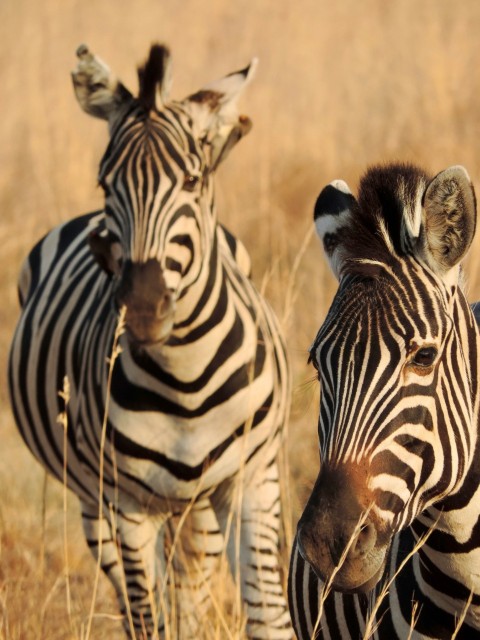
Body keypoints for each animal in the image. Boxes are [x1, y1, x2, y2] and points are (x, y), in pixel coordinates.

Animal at [8, 44, 292, 639]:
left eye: (191, 181)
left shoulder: (254, 483)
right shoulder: (128, 504)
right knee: (140, 598)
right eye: (105, 183)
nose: (141, 307)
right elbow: (148, 616)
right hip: (95, 504)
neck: (186, 377)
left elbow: (268, 618)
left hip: (201, 508)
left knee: (191, 588)